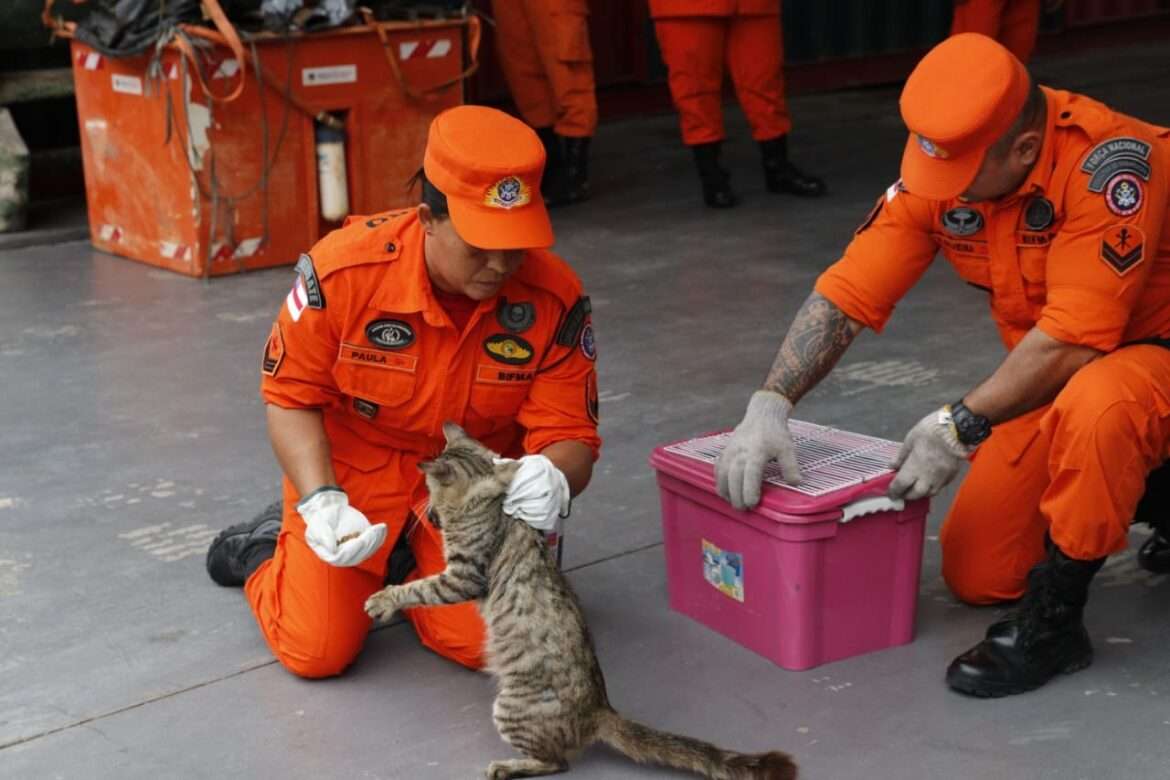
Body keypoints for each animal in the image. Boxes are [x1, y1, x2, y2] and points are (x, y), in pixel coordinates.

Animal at [367, 420, 795, 780]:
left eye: (429, 489)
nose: (427, 510)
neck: (488, 503)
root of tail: (600, 708)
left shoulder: (462, 575)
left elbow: (419, 588)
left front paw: (383, 599)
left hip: (510, 708)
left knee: (556, 763)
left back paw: (507, 766)